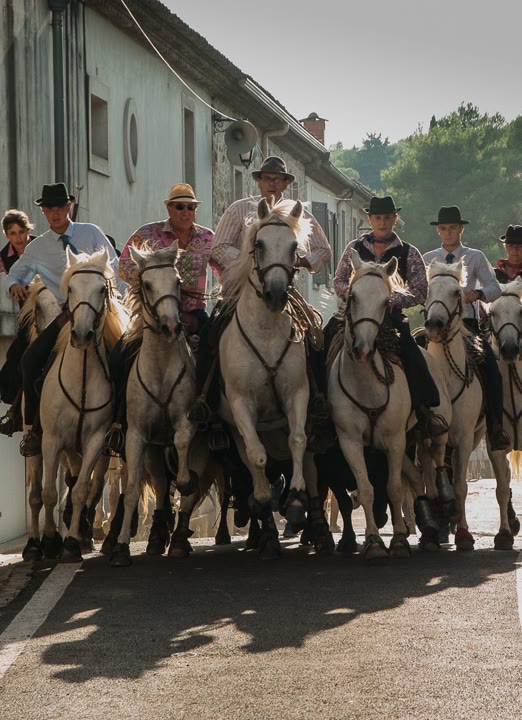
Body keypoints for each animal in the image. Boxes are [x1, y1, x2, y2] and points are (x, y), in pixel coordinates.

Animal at [109, 245, 221, 564]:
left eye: (178, 282)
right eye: (147, 284)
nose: (172, 325)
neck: (159, 368)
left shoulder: (186, 423)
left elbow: (184, 462)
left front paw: (184, 483)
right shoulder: (137, 435)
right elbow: (132, 490)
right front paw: (121, 547)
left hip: (202, 453)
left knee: (189, 495)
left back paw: (180, 540)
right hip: (153, 453)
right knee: (160, 486)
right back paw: (158, 536)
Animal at [217, 200, 332, 560]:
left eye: (295, 247)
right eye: (259, 244)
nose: (277, 293)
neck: (265, 332)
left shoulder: (298, 395)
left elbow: (298, 442)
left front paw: (294, 500)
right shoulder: (241, 404)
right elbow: (257, 457)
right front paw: (264, 507)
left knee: (310, 466)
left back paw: (319, 530)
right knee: (254, 464)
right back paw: (265, 532)